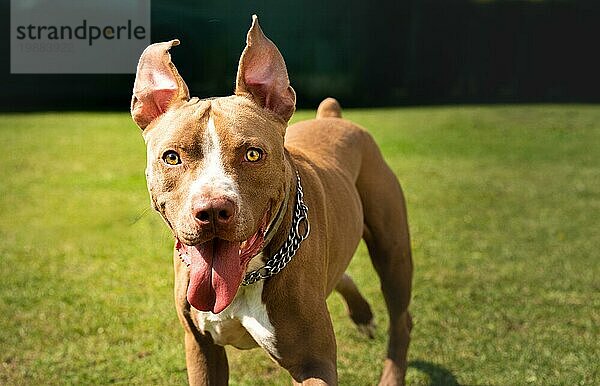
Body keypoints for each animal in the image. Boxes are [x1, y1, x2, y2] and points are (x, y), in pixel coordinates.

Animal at [131, 14, 412, 382]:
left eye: (253, 154)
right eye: (172, 157)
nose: (212, 210)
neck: (245, 277)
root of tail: (333, 117)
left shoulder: (313, 361)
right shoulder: (201, 348)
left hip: (392, 250)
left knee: (401, 318)